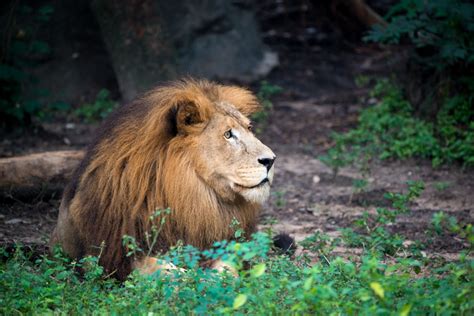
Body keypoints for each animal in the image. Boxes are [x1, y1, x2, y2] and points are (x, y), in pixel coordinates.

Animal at [50, 78, 276, 278]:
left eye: (249, 128)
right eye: (228, 134)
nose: (271, 160)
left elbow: (228, 264)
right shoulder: (112, 258)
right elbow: (162, 270)